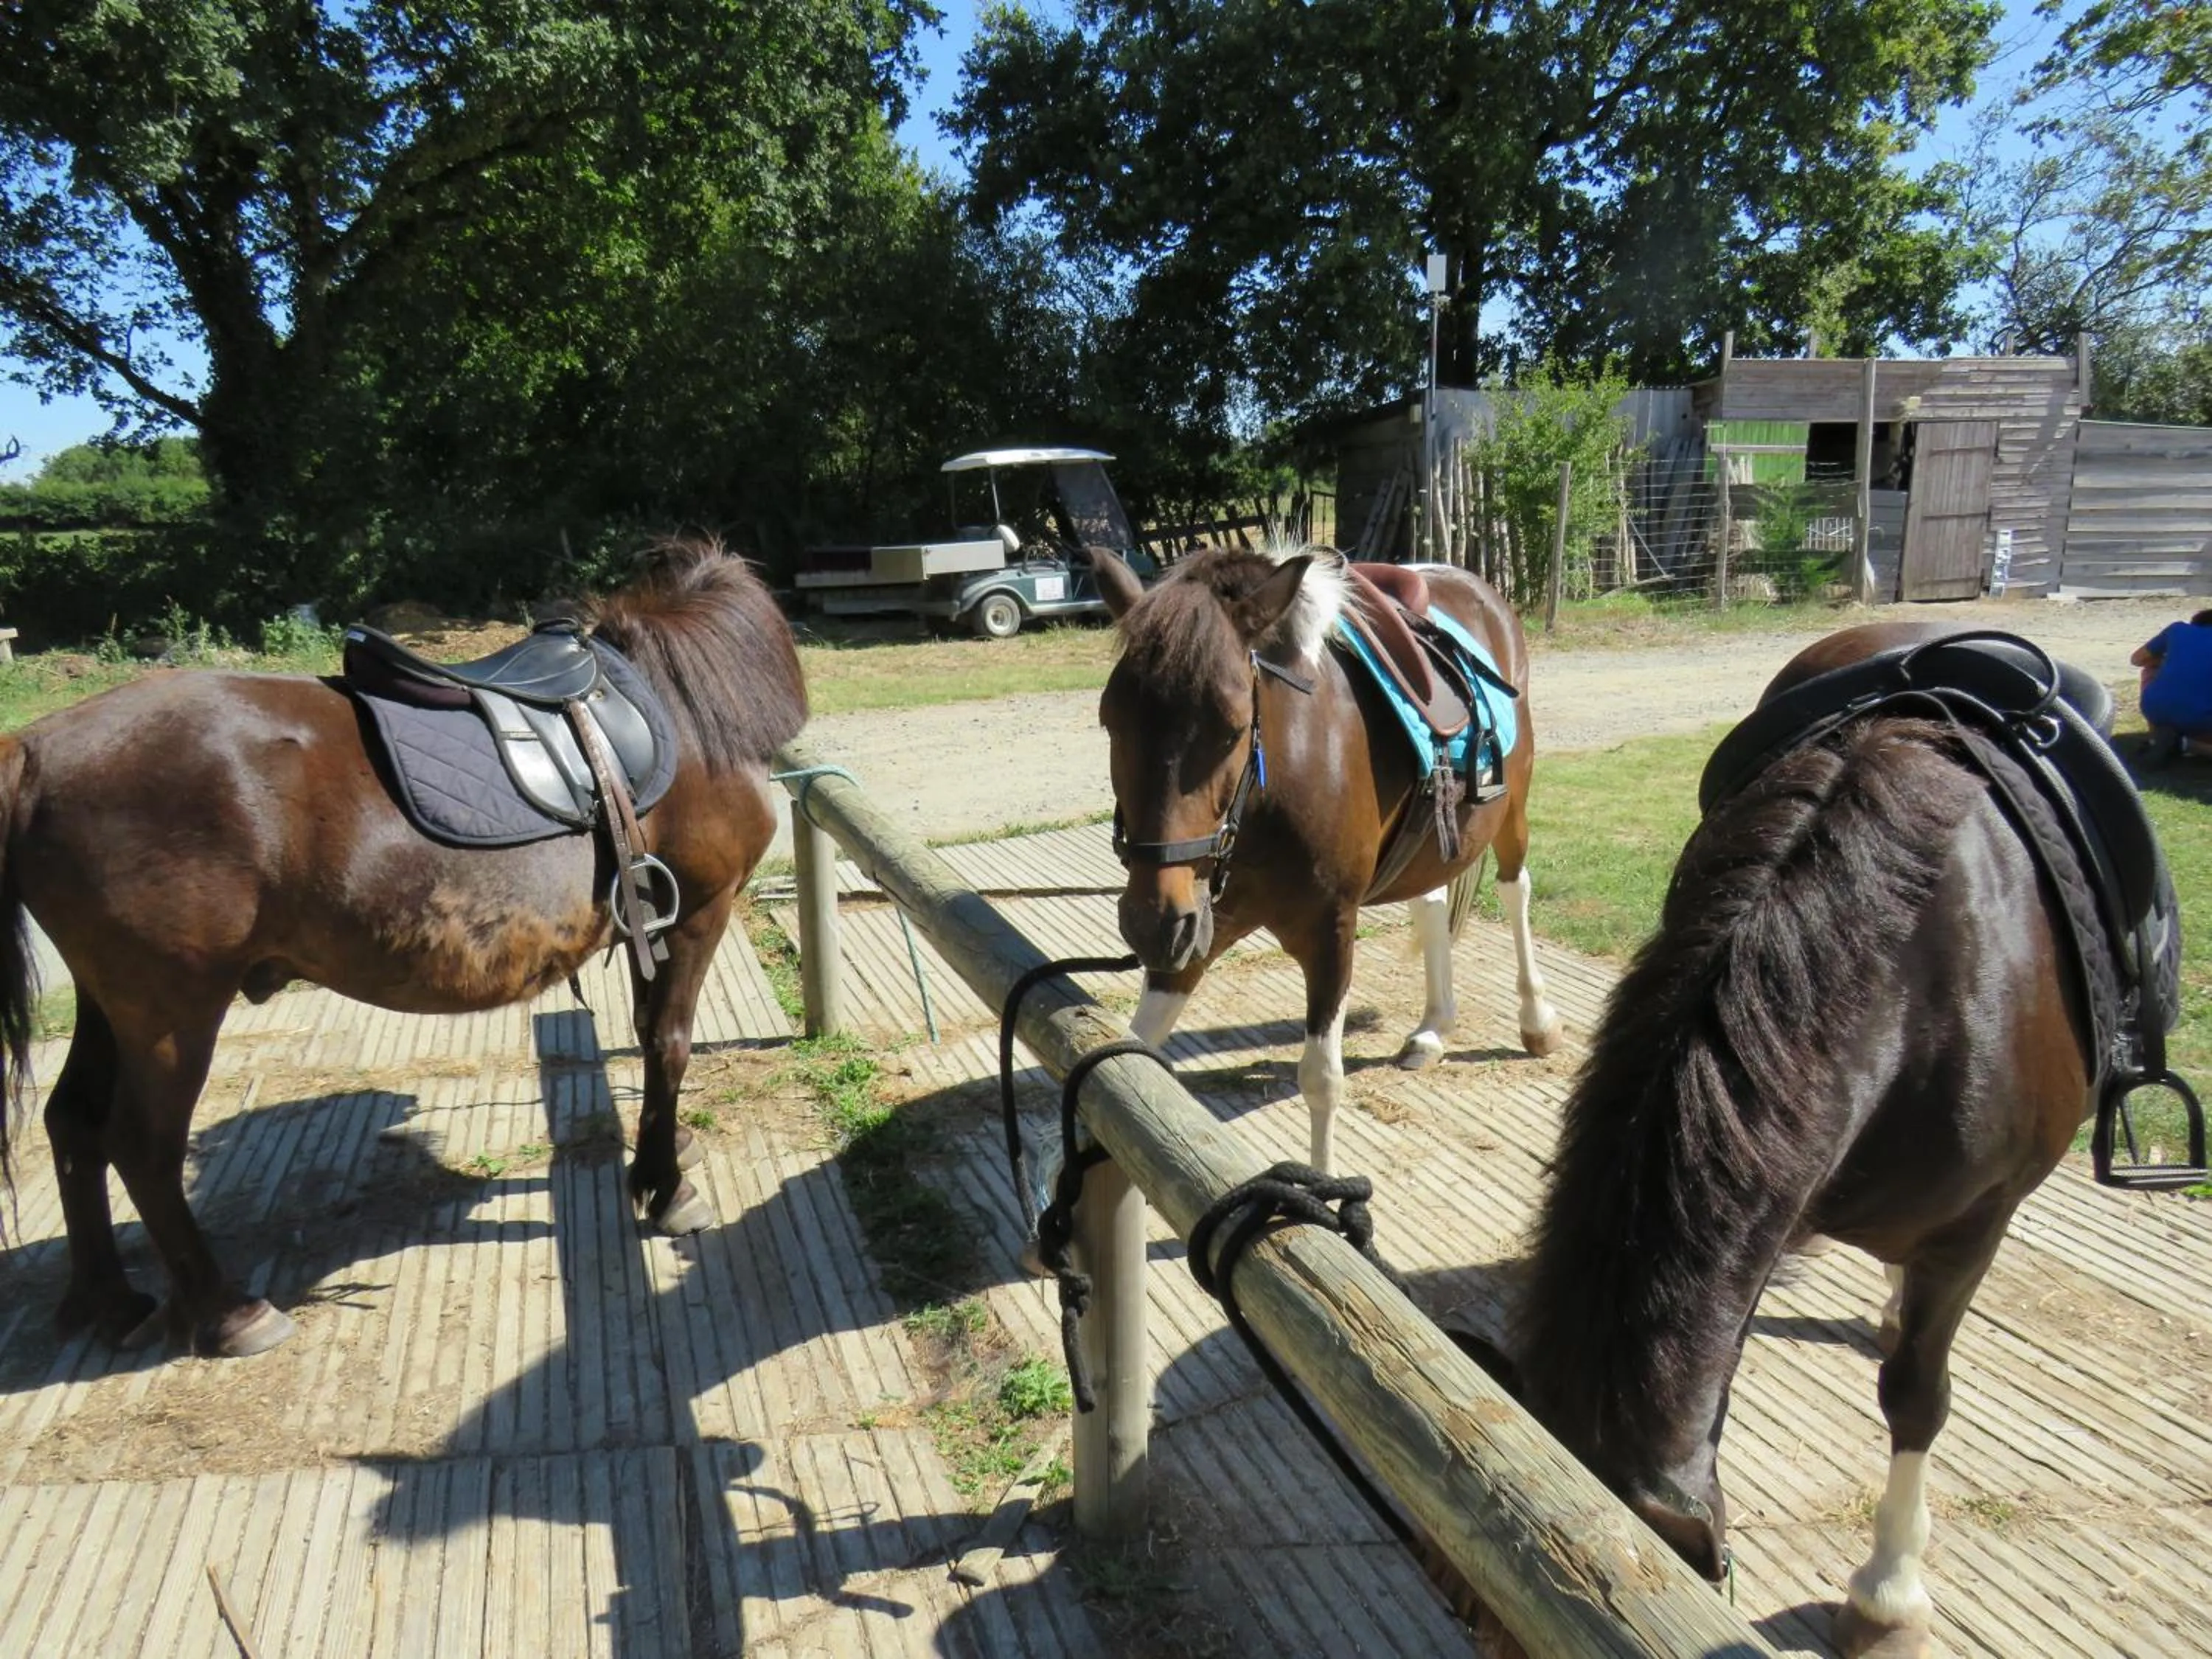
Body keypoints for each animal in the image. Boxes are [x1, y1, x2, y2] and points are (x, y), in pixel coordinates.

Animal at [0, 541, 806, 1359]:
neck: (679, 708)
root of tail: (33, 750)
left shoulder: (656, 919)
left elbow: (647, 1041)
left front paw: (659, 1162)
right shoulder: (699, 911)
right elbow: (667, 1045)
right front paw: (667, 1188)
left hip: (113, 1005)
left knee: (72, 1121)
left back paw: (106, 1300)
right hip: (174, 1013)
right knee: (142, 1146)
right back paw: (229, 1312)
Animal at [1088, 544, 1561, 1174]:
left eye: (1232, 729)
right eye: (1109, 721)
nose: (1151, 923)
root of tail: (1470, 582)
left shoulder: (1330, 933)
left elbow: (1321, 1079)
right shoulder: (1199, 931)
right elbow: (1133, 1058)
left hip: (1512, 810)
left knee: (1516, 891)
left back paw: (1536, 1021)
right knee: (1432, 903)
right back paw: (1434, 1028)